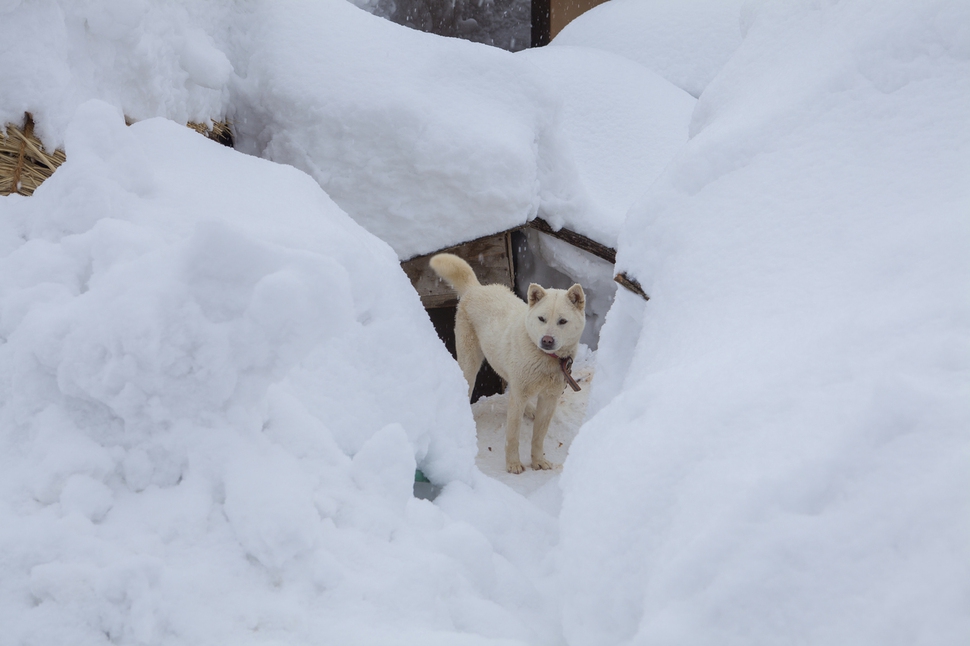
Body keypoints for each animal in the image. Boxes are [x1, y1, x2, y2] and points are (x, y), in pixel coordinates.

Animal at [430, 254, 584, 476]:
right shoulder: (518, 399)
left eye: (562, 321)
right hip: (470, 365)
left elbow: (539, 437)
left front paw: (538, 461)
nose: (546, 340)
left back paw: (530, 409)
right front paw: (513, 465)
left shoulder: (549, 399)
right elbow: (512, 436)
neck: (545, 359)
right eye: (542, 319)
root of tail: (475, 288)